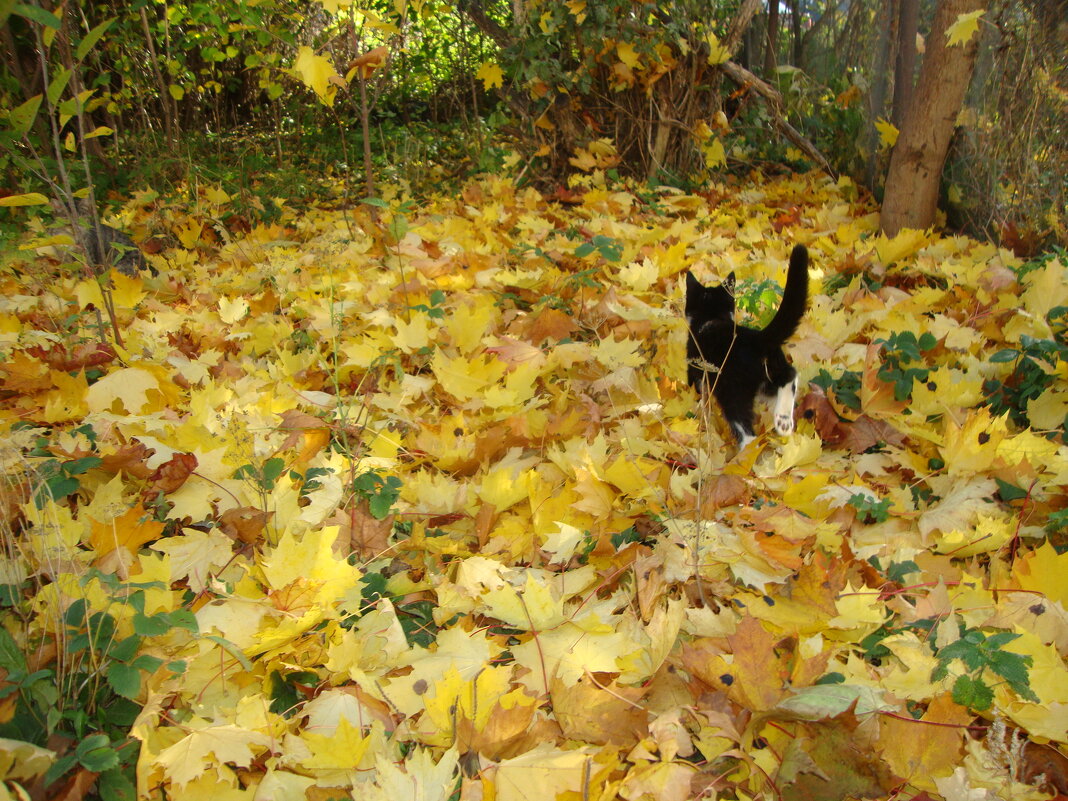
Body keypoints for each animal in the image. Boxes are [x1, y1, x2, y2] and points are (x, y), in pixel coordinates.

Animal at [683, 241, 807, 448]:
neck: (711, 318)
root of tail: (757, 340)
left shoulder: (696, 367)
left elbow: (699, 390)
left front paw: (701, 408)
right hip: (771, 370)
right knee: (790, 375)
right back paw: (783, 421)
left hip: (733, 391)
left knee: (747, 433)